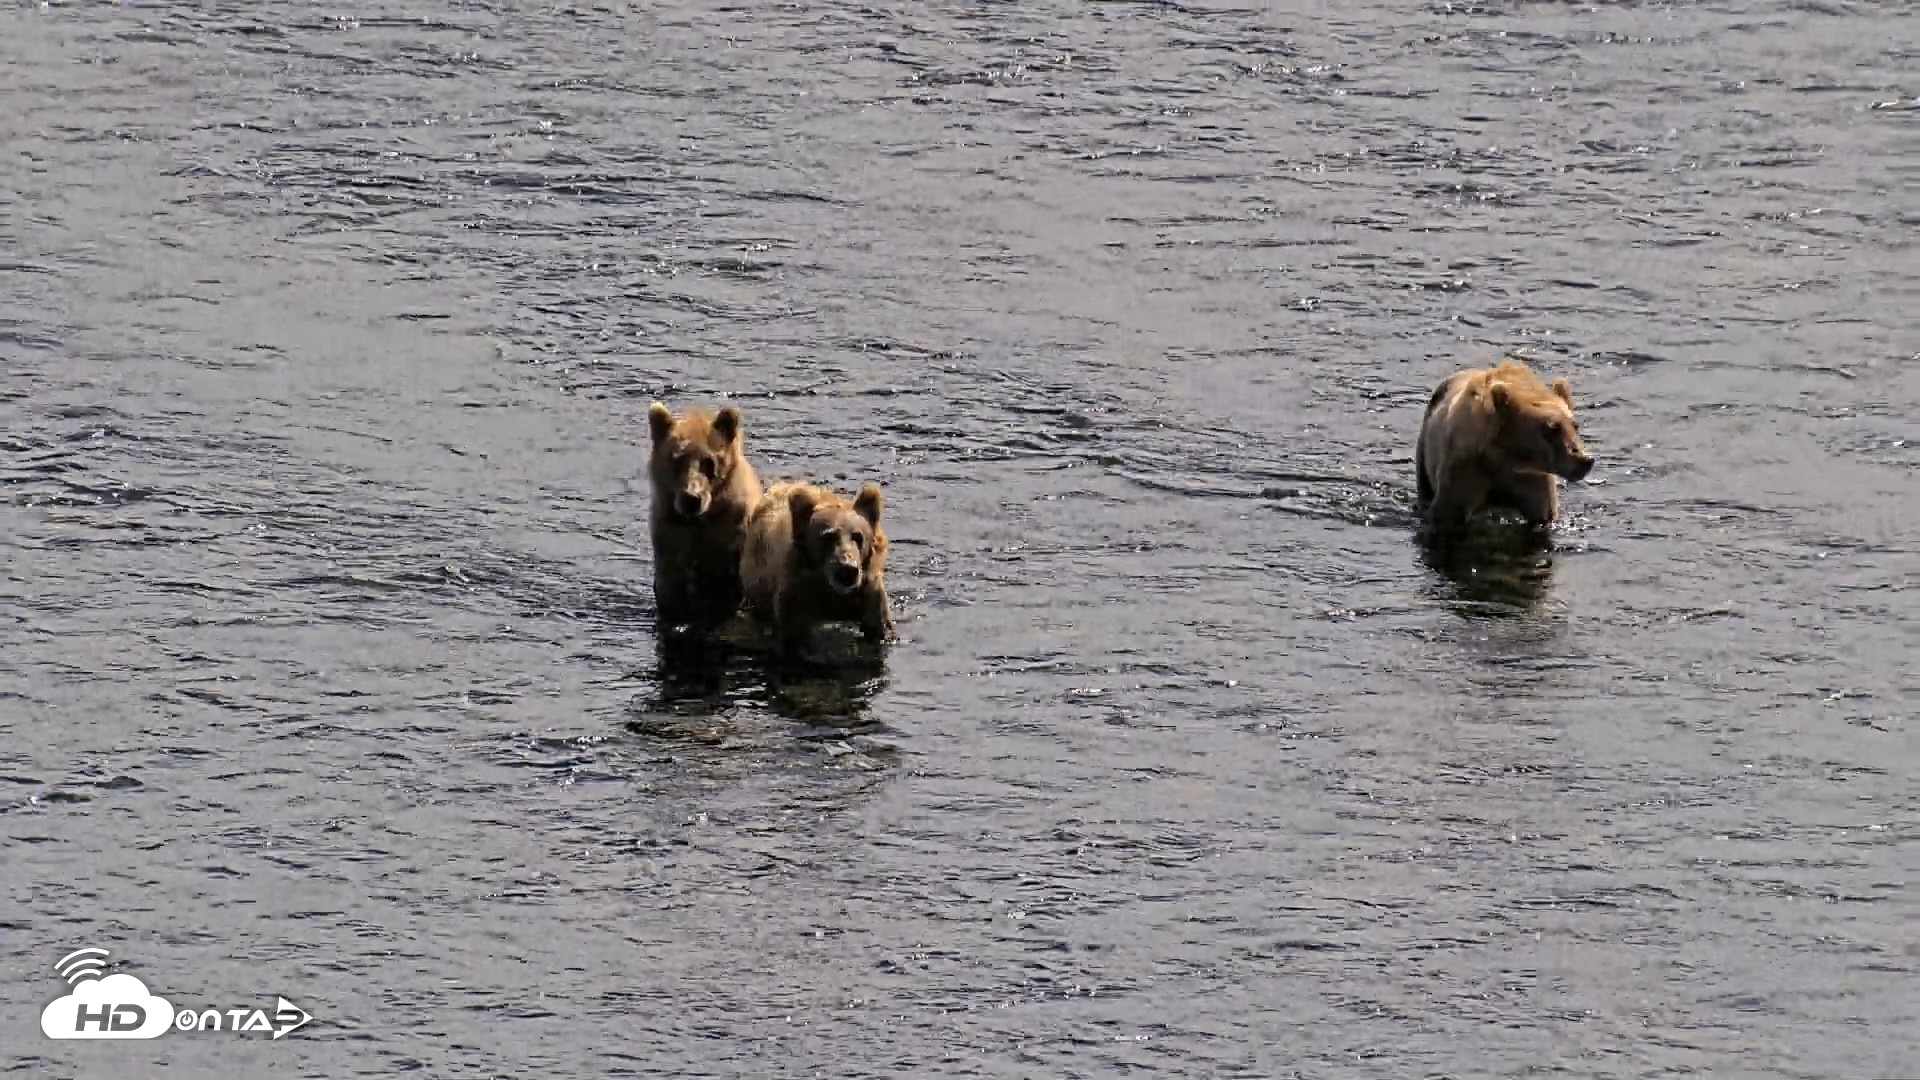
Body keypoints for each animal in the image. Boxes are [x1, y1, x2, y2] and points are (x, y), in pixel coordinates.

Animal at [739, 480, 894, 654]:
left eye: (858, 536)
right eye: (828, 536)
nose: (847, 569)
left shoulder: (867, 589)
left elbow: (878, 626)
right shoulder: (798, 592)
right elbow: (794, 630)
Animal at [1415, 357, 1594, 530]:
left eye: (1575, 425)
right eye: (1552, 428)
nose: (1585, 460)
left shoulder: (1531, 479)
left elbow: (1543, 513)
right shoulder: (1465, 467)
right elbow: (1449, 511)